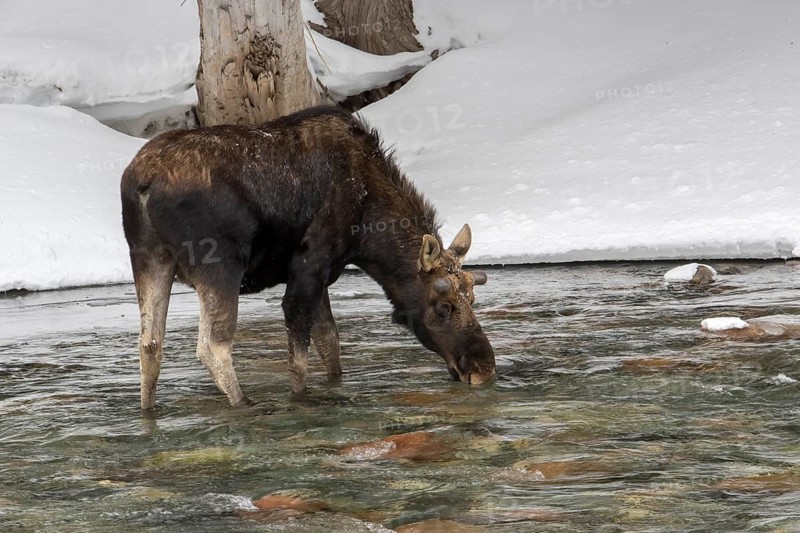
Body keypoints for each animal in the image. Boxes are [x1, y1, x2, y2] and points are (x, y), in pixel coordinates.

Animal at [120, 105, 495, 410]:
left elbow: (330, 346)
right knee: (212, 346)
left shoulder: (324, 275)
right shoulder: (309, 267)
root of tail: (141, 183)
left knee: (149, 344)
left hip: (148, 258)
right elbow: (299, 362)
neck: (367, 230)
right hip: (219, 264)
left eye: (473, 298)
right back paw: (244, 403)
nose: (483, 366)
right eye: (443, 306)